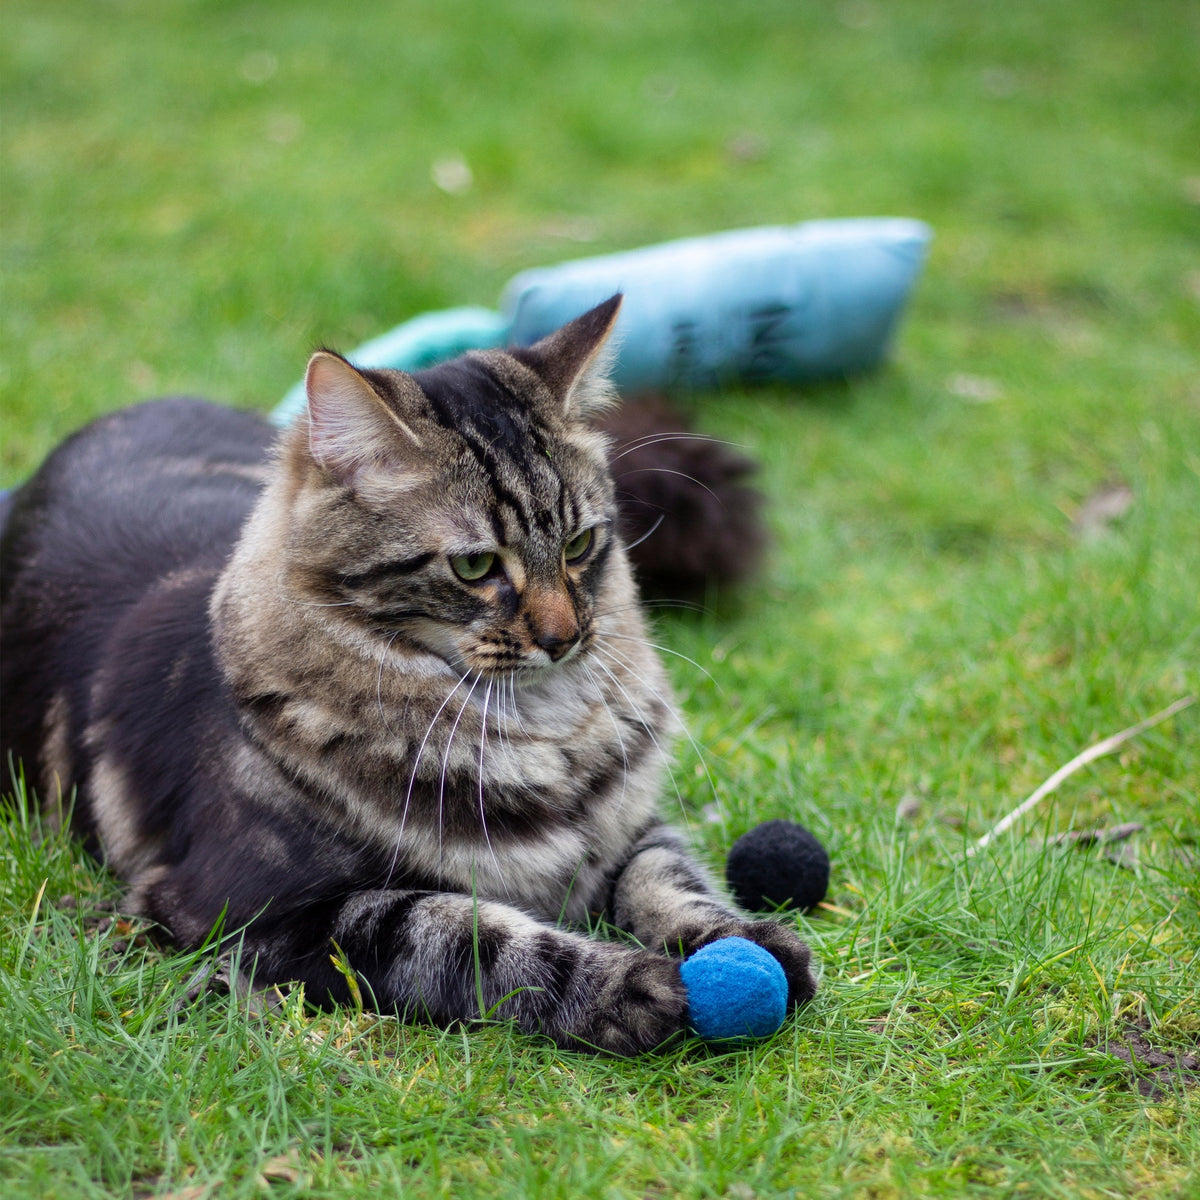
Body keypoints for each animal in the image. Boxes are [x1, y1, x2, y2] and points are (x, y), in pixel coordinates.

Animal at [0, 297, 816, 1051]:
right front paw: (622, 986)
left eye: (580, 545)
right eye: (476, 566)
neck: (540, 730)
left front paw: (750, 943)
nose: (564, 638)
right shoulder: (267, 909)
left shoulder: (631, 826)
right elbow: (473, 936)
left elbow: (668, 880)